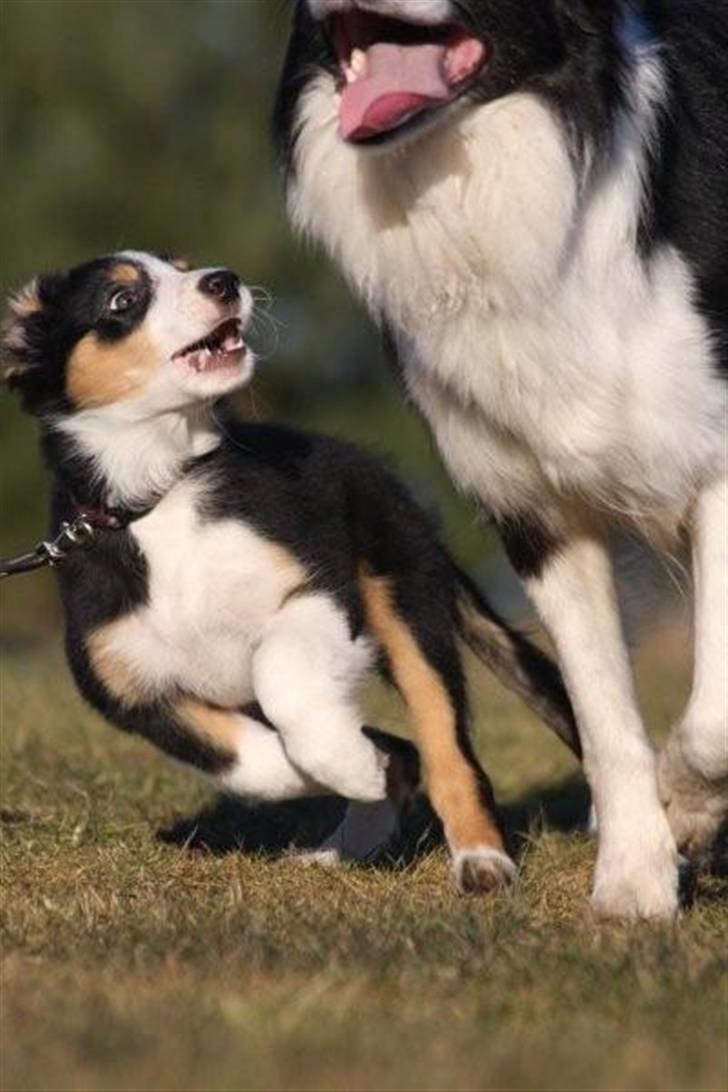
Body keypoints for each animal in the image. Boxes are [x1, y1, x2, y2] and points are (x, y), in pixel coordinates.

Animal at [1, 251, 580, 891]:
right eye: (121, 301)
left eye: (182, 266)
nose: (222, 281)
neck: (158, 491)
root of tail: (384, 478)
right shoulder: (127, 686)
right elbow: (246, 764)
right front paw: (352, 767)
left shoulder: (315, 589)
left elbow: (285, 681)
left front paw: (349, 763)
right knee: (405, 750)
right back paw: (344, 842)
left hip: (402, 600)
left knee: (446, 746)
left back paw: (481, 860)